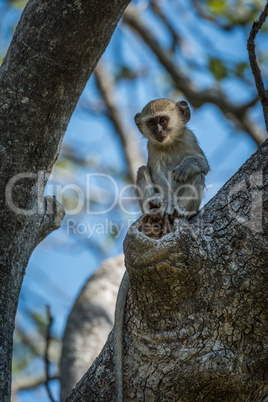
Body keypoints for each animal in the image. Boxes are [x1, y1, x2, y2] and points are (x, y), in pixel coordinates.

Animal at [113, 98, 209, 402]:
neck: (168, 143)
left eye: (164, 120)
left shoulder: (189, 139)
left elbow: (201, 164)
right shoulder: (152, 149)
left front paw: (186, 166)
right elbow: (156, 173)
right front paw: (163, 199)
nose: (158, 131)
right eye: (152, 122)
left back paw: (182, 211)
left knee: (197, 177)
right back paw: (157, 203)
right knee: (144, 171)